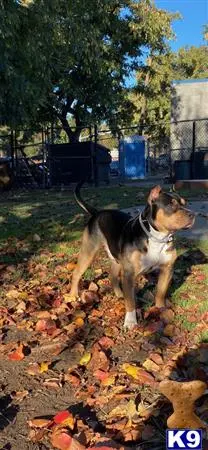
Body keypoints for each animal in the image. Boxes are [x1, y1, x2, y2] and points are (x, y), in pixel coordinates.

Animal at [70, 181, 195, 328]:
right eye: (171, 205)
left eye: (185, 203)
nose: (193, 214)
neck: (156, 237)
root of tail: (97, 212)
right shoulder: (129, 274)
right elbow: (130, 302)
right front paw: (130, 321)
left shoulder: (167, 270)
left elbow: (160, 292)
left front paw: (160, 309)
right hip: (88, 252)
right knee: (76, 274)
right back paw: (73, 296)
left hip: (117, 260)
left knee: (113, 276)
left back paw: (119, 294)